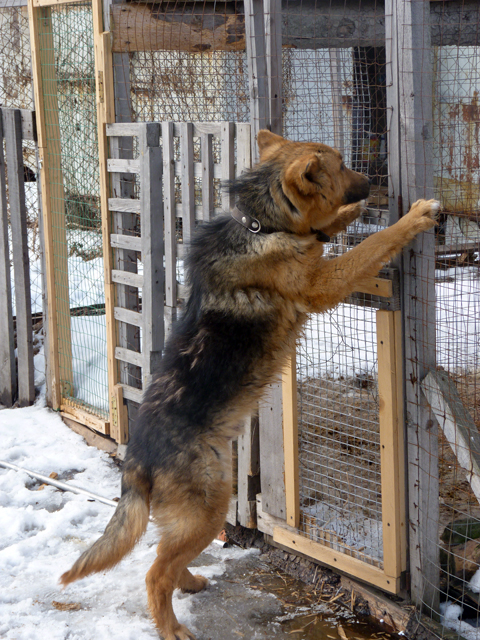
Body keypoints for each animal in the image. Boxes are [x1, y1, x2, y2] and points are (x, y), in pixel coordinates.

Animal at [60, 130, 438, 640]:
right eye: (341, 166)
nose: (374, 183)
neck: (261, 224)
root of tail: (137, 457)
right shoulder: (323, 284)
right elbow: (374, 244)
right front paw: (412, 217)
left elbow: (330, 231)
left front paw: (351, 215)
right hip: (209, 506)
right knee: (154, 571)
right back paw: (171, 626)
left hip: (201, 510)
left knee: (165, 555)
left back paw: (190, 581)